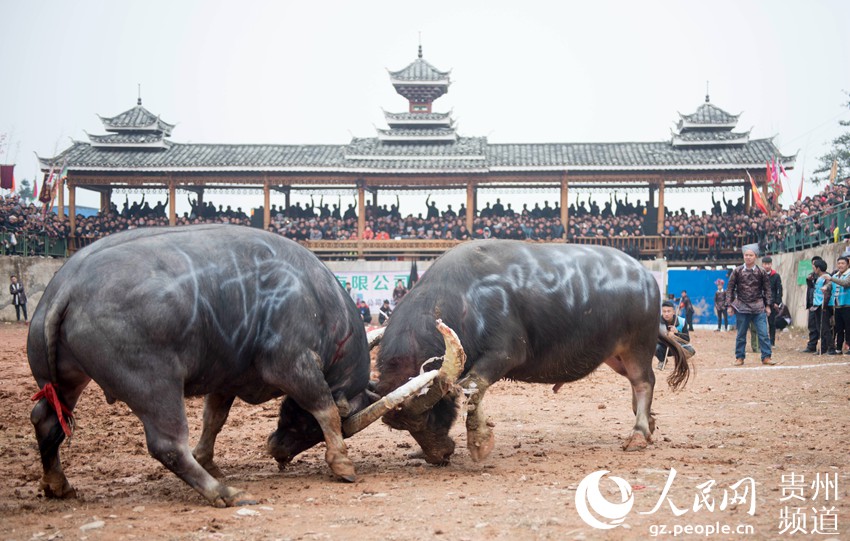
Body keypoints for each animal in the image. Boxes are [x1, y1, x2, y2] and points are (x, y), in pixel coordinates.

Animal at [28, 225, 430, 506]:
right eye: (306, 428)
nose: (277, 450)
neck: (316, 300)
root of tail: (68, 285)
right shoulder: (294, 366)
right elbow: (326, 408)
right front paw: (342, 464)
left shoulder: (225, 380)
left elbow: (214, 420)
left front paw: (208, 459)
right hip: (154, 384)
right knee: (167, 445)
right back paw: (223, 493)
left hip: (69, 380)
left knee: (46, 421)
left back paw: (58, 484)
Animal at [374, 240, 684, 464]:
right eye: (409, 428)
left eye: (429, 415)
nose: (438, 455)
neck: (465, 300)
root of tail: (645, 277)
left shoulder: (504, 354)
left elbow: (474, 385)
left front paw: (479, 442)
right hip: (614, 355)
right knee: (635, 384)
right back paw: (649, 423)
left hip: (637, 345)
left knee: (644, 382)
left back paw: (639, 433)